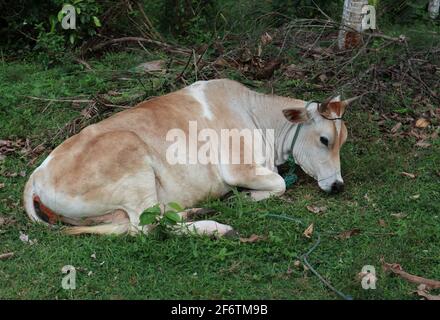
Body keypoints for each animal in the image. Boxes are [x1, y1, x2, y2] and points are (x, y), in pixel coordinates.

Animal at [23, 79, 358, 236]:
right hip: (132, 160)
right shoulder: (237, 168)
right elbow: (280, 184)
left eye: (343, 140)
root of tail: (36, 176)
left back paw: (196, 211)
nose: (338, 185)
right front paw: (246, 197)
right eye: (325, 139)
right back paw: (216, 228)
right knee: (147, 227)